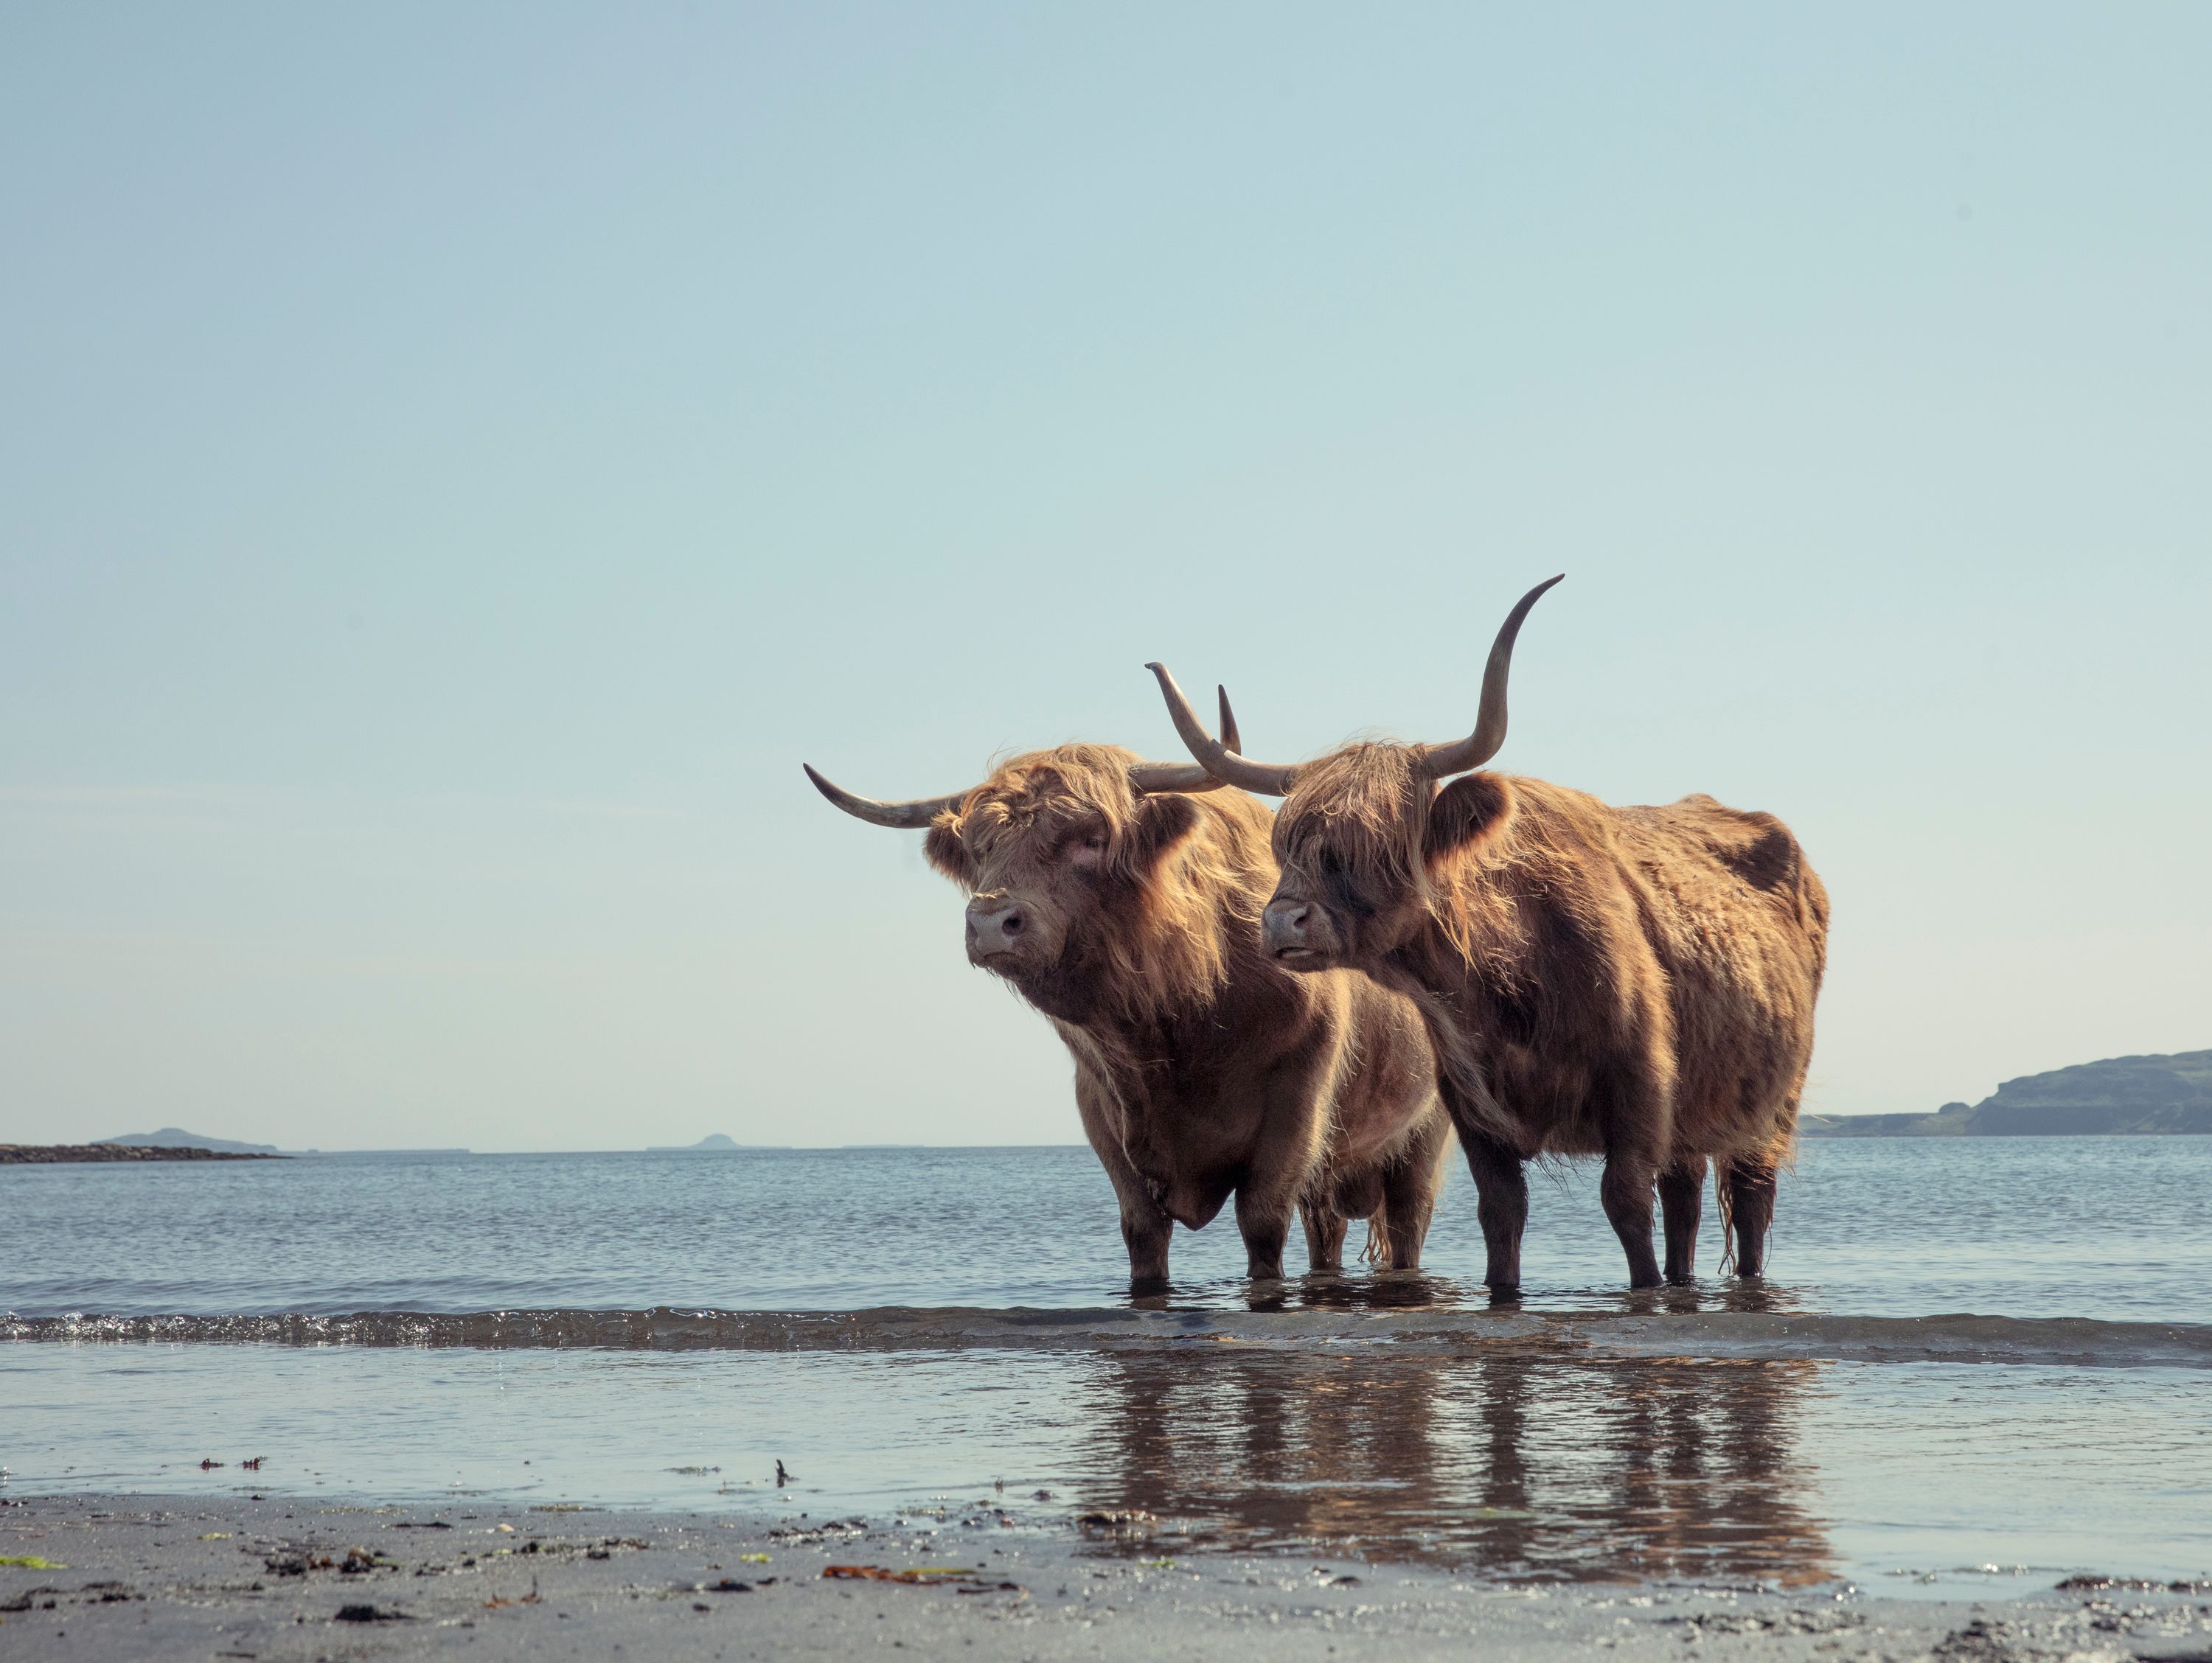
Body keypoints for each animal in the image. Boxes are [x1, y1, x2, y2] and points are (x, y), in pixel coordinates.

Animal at [804, 730, 1452, 1290]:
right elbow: (1141, 1232)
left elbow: (1263, 1225)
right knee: (1328, 1231)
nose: (990, 922)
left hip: (1425, 1132)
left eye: (1090, 837)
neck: (1173, 1014)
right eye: (980, 847)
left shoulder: (1296, 1102)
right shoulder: (1100, 1104)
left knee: (1408, 1220)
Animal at [1146, 577, 1829, 1293]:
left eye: (1374, 844)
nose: (1282, 922)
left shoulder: (1639, 1093)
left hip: (1772, 1108)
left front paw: (1644, 1287)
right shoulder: (1473, 1112)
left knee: (1749, 1202)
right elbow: (1501, 1214)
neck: (1505, 982)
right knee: (1686, 1200)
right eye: (1285, 843)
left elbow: (1626, 1206)